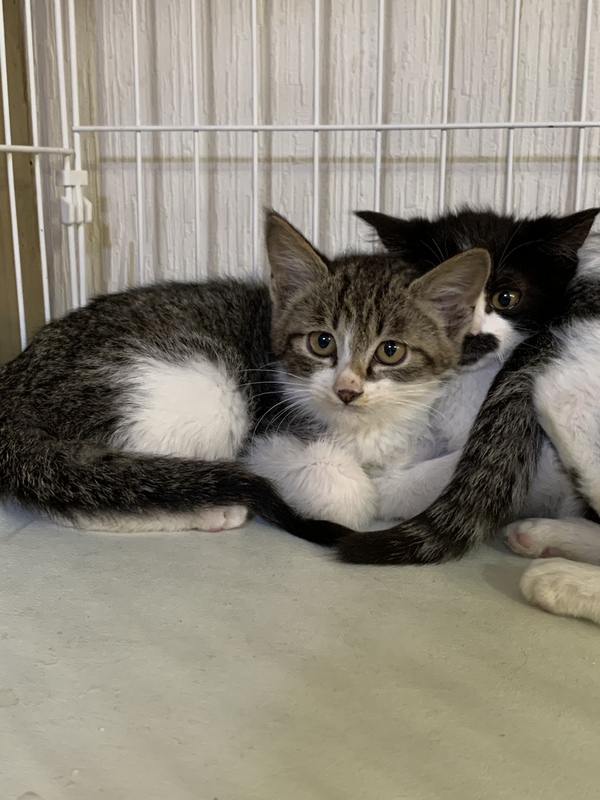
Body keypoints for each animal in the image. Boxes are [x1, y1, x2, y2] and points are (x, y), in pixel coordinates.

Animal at [0, 211, 488, 541]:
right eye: (322, 342)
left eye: (391, 351)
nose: (346, 390)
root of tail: (15, 386)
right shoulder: (264, 436)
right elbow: (344, 490)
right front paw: (360, 491)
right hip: (203, 389)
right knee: (100, 488)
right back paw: (208, 508)